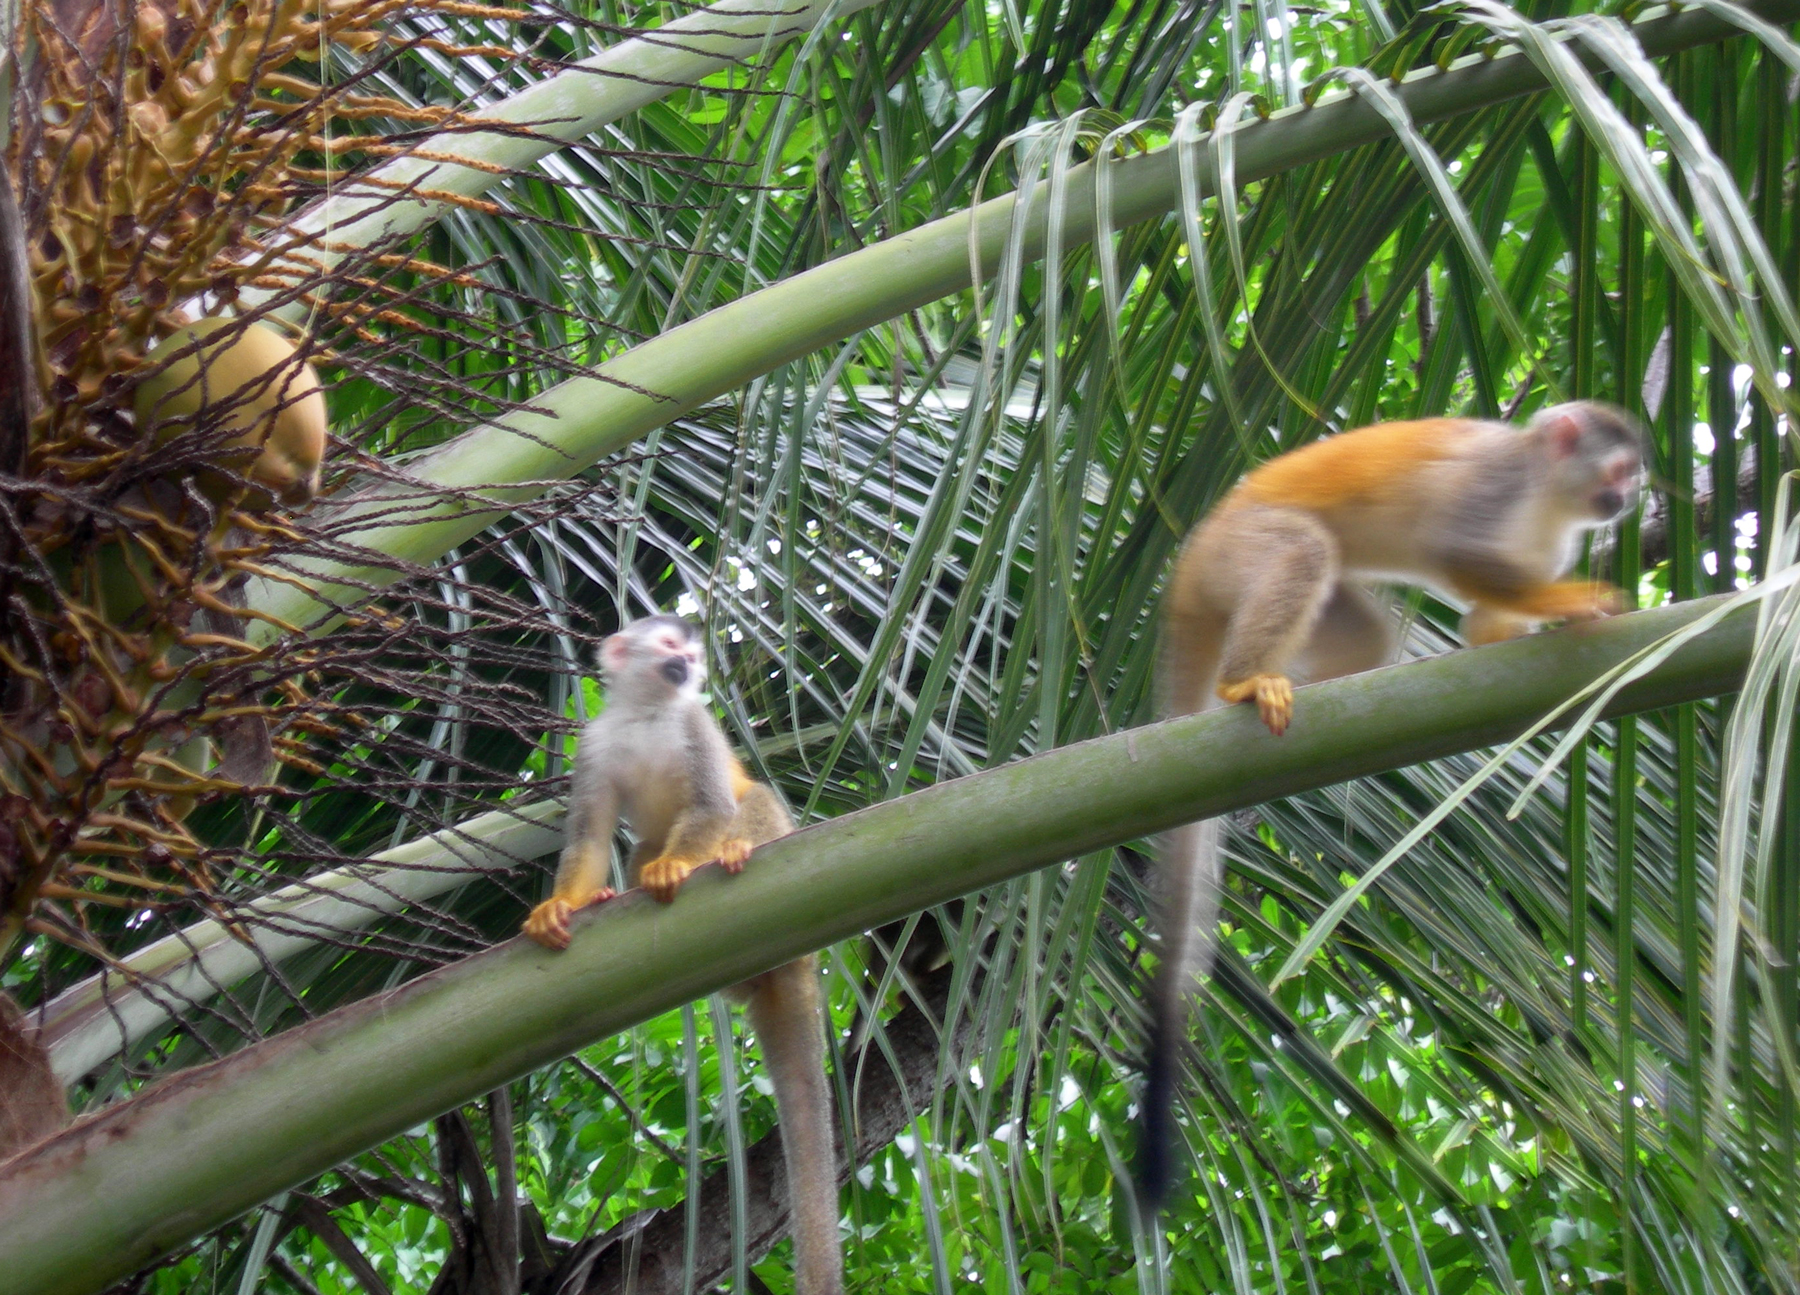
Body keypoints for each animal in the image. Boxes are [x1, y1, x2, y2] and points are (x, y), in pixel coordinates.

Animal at [522, 616, 842, 1295]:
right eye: (673, 649)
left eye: (693, 658)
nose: (687, 667)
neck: (648, 711)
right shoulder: (593, 742)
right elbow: (591, 837)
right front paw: (560, 907)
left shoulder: (694, 719)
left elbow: (712, 805)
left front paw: (678, 867)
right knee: (640, 844)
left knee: (751, 800)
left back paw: (728, 854)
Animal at [1136, 401, 1645, 1213]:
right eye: (1620, 470)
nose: (1625, 502)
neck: (1547, 490)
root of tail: (1188, 562)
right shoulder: (1497, 483)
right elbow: (1455, 548)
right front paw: (1571, 602)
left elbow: (1484, 622)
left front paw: (1529, 624)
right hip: (1232, 551)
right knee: (1302, 550)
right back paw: (1243, 682)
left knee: (1362, 626)